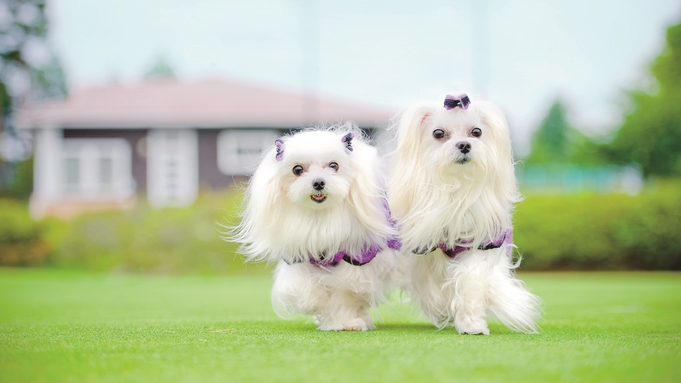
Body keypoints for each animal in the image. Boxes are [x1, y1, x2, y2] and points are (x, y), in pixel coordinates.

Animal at [232, 124, 398, 332]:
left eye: (334, 165)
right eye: (297, 169)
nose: (318, 182)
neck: (320, 217)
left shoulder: (358, 258)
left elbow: (346, 291)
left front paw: (347, 322)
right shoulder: (300, 258)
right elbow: (307, 288)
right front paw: (323, 310)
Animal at [388, 94, 540, 334]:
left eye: (476, 132)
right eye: (438, 133)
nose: (464, 145)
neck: (456, 189)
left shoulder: (479, 244)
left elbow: (471, 280)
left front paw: (472, 323)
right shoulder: (423, 249)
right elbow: (430, 284)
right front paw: (442, 309)